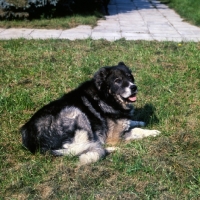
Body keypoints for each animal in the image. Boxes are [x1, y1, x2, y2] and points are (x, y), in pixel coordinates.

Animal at [21, 62, 160, 164]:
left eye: (130, 77)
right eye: (117, 80)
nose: (134, 87)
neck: (105, 96)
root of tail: (33, 142)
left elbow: (131, 122)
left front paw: (141, 123)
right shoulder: (114, 137)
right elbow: (135, 131)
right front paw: (151, 132)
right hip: (76, 113)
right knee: (83, 148)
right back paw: (108, 150)